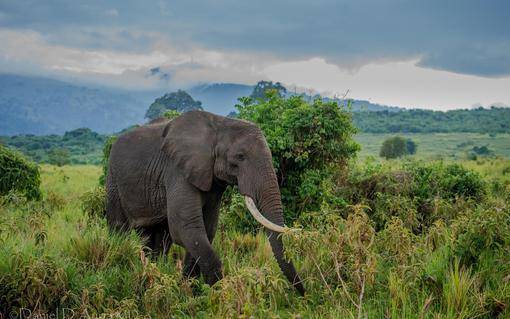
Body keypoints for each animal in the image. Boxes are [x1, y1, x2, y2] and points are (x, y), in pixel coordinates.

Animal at [103, 110, 302, 296]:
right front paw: (219, 294)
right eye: (240, 156)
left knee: (158, 237)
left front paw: (189, 290)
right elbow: (186, 227)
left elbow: (205, 229)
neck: (219, 125)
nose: (303, 294)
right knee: (120, 228)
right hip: (113, 180)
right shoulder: (177, 171)